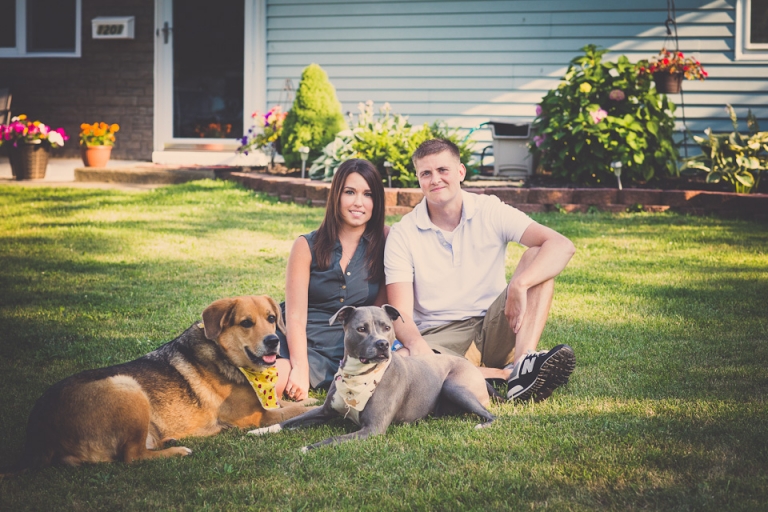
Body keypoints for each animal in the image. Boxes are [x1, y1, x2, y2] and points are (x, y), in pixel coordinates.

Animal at [7, 296, 314, 468]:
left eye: (272, 318)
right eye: (246, 323)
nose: (273, 341)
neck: (225, 355)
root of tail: (38, 436)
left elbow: (294, 403)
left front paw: (308, 397)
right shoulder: (257, 416)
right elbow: (296, 410)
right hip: (128, 388)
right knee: (132, 456)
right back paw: (177, 450)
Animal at [249, 304, 496, 452]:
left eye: (387, 327)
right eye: (361, 329)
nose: (383, 344)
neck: (359, 375)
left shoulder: (372, 429)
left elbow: (332, 440)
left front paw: (307, 448)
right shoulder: (323, 411)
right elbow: (288, 421)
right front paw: (259, 431)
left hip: (455, 387)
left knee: (492, 415)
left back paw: (481, 425)